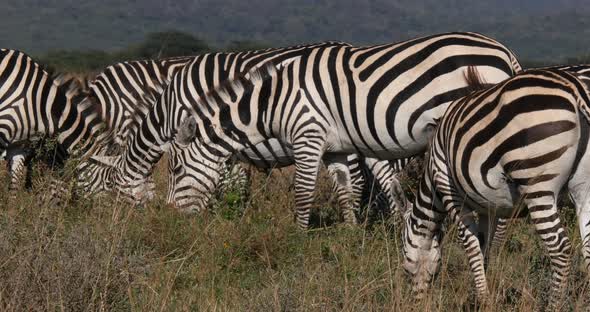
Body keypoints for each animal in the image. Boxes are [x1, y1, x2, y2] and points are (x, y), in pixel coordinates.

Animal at [402, 67, 590, 308]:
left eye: (405, 264)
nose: (414, 303)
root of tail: (575, 87)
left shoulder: (449, 189)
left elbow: (470, 243)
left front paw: (483, 298)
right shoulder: (488, 207)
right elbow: (484, 247)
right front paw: (482, 292)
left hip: (537, 185)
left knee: (560, 248)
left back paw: (553, 305)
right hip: (583, 189)